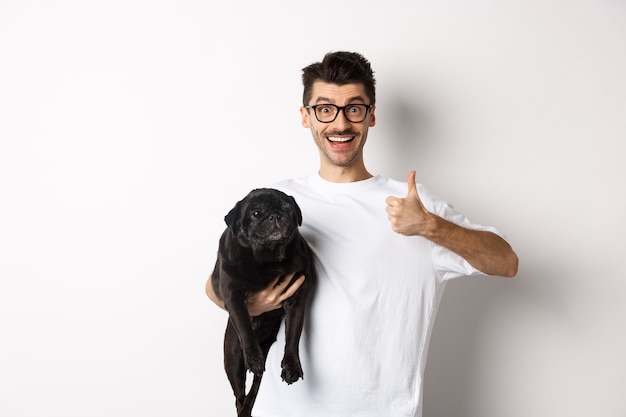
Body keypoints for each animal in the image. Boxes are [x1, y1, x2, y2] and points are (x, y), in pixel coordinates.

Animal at [211, 188, 316, 416]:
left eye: (286, 207)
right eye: (256, 213)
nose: (275, 215)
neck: (268, 259)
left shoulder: (297, 299)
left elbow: (293, 335)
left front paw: (292, 366)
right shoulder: (233, 296)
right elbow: (245, 328)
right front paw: (254, 358)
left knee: (254, 387)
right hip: (233, 360)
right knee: (239, 396)